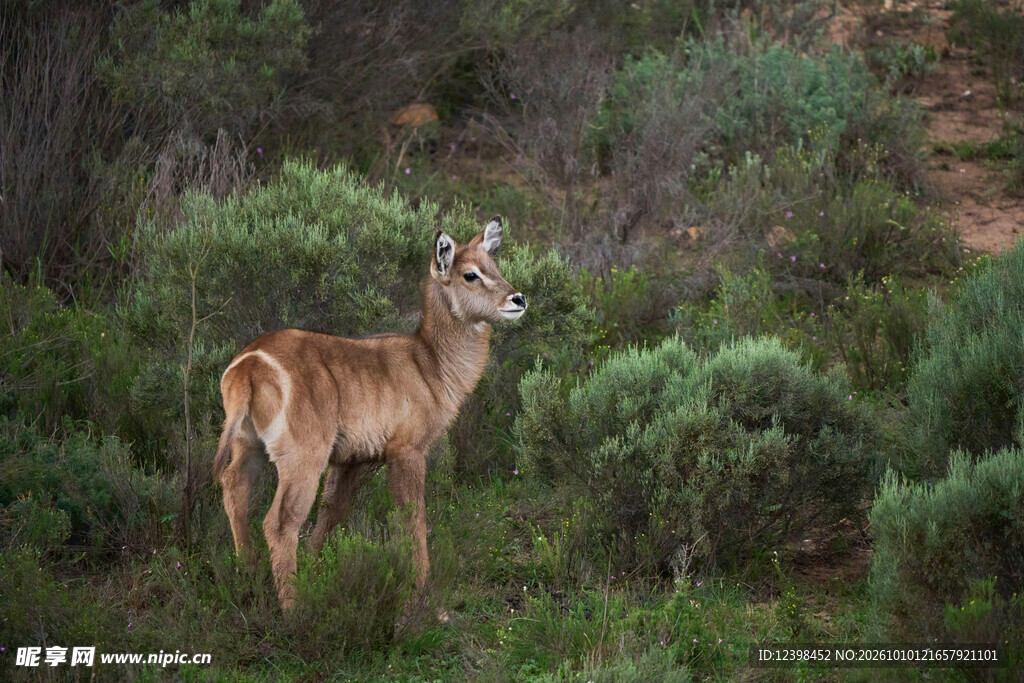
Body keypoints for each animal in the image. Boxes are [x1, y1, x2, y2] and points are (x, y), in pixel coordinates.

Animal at [212, 218, 526, 610]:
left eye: (494, 266)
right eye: (470, 274)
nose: (518, 299)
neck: (428, 363)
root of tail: (249, 366)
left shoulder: (350, 460)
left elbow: (332, 512)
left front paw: (315, 566)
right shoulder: (407, 451)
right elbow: (413, 516)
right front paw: (421, 590)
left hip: (247, 443)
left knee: (233, 487)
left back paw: (248, 573)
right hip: (303, 456)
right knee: (280, 522)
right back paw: (294, 606)